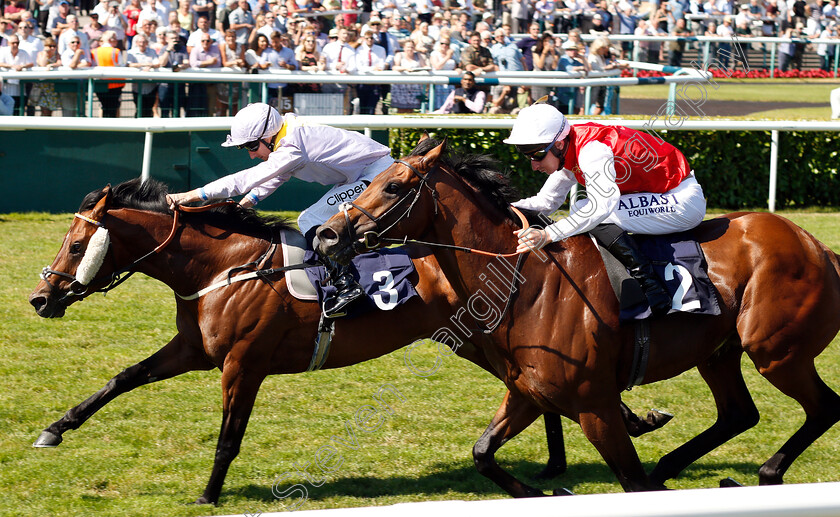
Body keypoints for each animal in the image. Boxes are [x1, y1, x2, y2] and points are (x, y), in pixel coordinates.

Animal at [29, 178, 668, 504]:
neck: (223, 268)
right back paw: (568, 457)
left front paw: (209, 495)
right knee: (536, 386)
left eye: (77, 242)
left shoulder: (243, 363)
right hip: (476, 342)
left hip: (477, 340)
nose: (40, 298)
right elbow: (122, 378)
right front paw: (55, 429)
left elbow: (228, 437)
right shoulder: (195, 350)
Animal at [314, 139, 840, 494]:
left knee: (824, 406)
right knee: (739, 413)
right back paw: (672, 467)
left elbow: (631, 480)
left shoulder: (596, 406)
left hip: (776, 351)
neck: (528, 284)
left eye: (393, 186)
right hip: (719, 352)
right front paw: (539, 490)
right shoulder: (528, 394)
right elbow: (482, 453)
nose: (326, 234)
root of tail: (818, 247)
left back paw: (766, 472)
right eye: (370, 181)